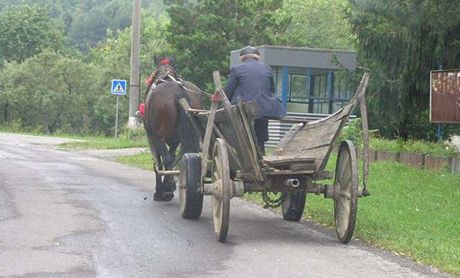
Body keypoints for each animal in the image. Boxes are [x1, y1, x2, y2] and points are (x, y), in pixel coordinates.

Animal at [144, 57, 201, 201]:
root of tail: (177, 92)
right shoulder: (175, 140)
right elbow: (172, 157)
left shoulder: (152, 138)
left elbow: (158, 163)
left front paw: (161, 190)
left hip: (158, 137)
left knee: (166, 160)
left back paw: (164, 190)